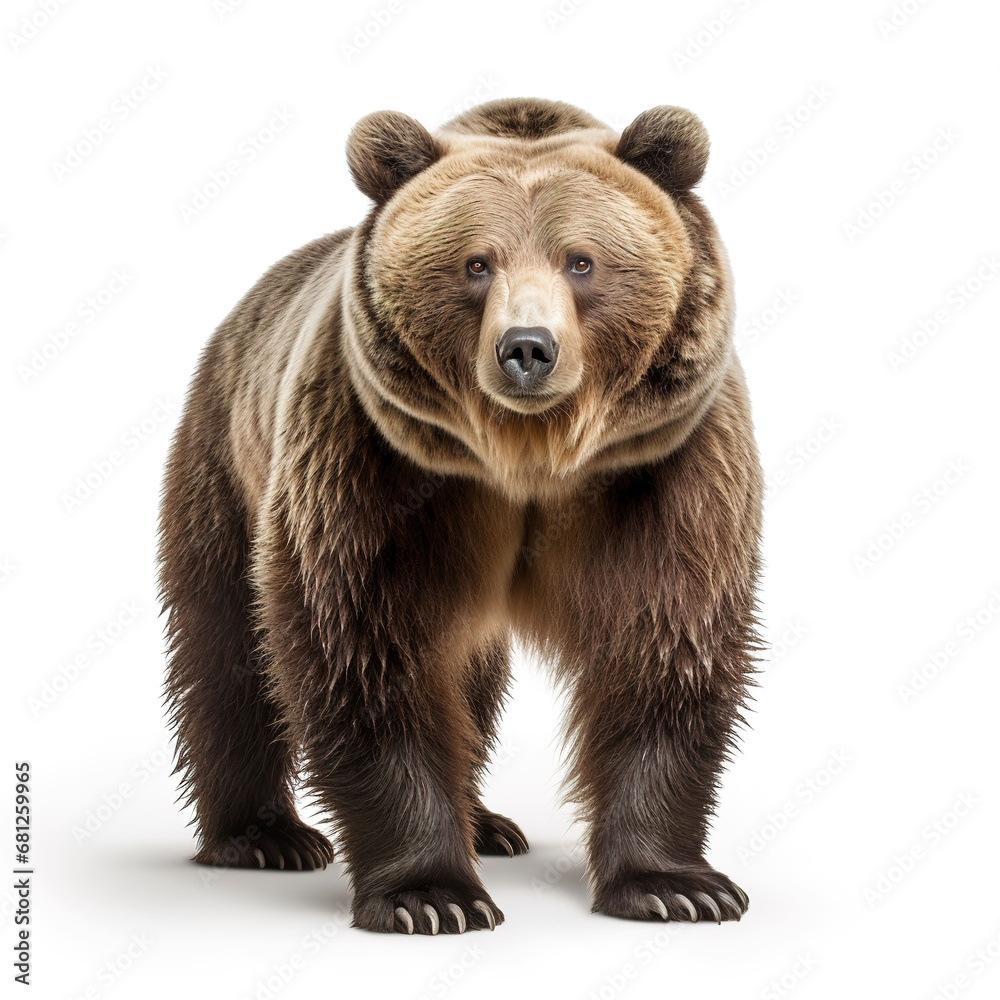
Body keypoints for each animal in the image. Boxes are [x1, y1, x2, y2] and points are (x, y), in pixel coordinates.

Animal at [159, 97, 762, 935]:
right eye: (477, 264)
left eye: (581, 261)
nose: (528, 349)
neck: (526, 457)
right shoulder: (376, 465)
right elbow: (365, 647)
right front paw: (431, 895)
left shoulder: (664, 469)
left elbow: (666, 645)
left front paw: (677, 886)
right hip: (227, 462)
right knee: (228, 651)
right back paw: (264, 836)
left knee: (471, 679)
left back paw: (487, 822)